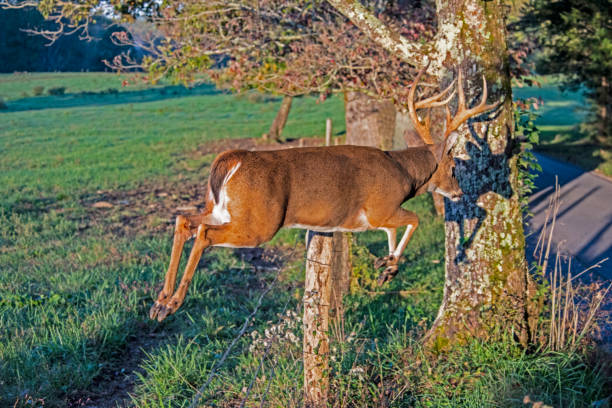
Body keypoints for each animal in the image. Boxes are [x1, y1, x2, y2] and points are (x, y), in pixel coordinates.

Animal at [151, 70, 500, 320]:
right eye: (454, 167)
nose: (458, 192)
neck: (405, 174)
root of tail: (230, 160)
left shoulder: (382, 215)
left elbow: (394, 232)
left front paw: (387, 267)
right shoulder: (380, 207)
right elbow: (413, 219)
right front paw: (390, 265)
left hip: (221, 208)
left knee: (184, 220)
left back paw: (160, 301)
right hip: (259, 223)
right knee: (204, 233)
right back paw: (172, 303)